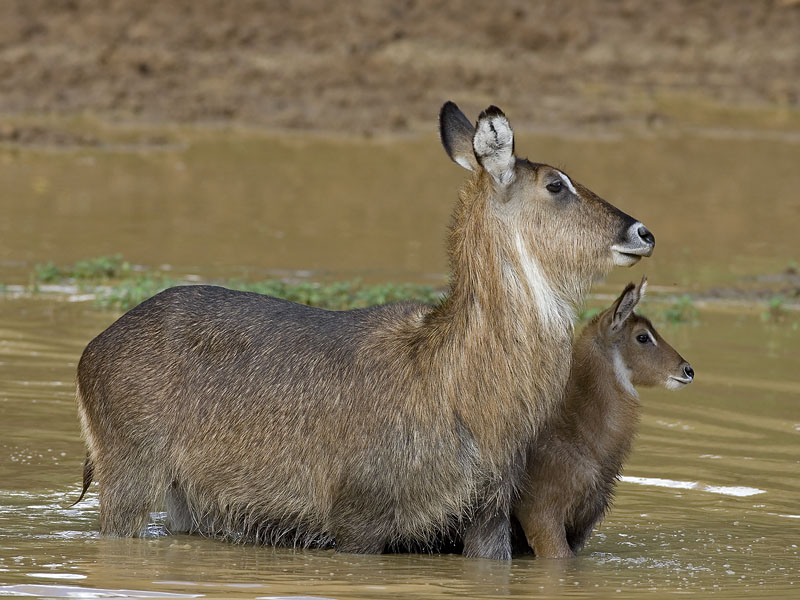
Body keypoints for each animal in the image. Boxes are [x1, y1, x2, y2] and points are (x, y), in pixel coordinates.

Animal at [73, 102, 656, 556]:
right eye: (557, 184)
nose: (643, 231)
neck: (462, 392)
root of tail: (91, 351)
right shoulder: (358, 519)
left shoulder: (488, 516)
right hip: (128, 476)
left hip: (186, 496)